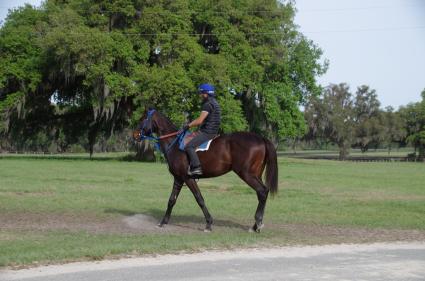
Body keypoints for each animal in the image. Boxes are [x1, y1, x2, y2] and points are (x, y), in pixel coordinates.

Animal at [133, 108, 278, 231]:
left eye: (142, 119)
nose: (134, 135)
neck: (174, 143)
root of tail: (261, 138)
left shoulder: (187, 178)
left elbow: (199, 199)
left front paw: (208, 223)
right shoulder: (178, 178)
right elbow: (171, 200)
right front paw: (163, 222)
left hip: (247, 174)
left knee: (262, 191)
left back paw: (257, 223)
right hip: (255, 174)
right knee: (261, 194)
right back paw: (255, 225)